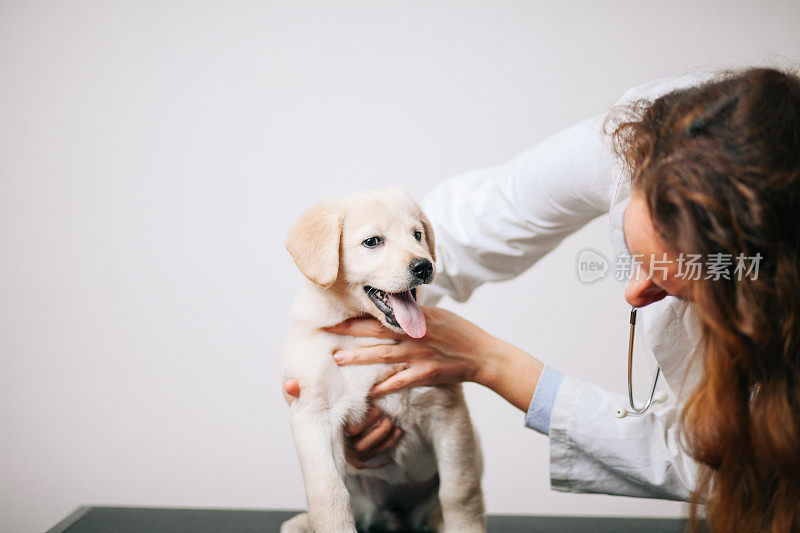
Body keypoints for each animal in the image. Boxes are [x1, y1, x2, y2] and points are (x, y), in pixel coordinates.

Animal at [282, 188, 482, 532]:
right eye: (373, 242)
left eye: (417, 235)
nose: (424, 266)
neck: (367, 333)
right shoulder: (314, 415)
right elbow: (327, 494)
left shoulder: (448, 412)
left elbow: (459, 490)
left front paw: (465, 527)